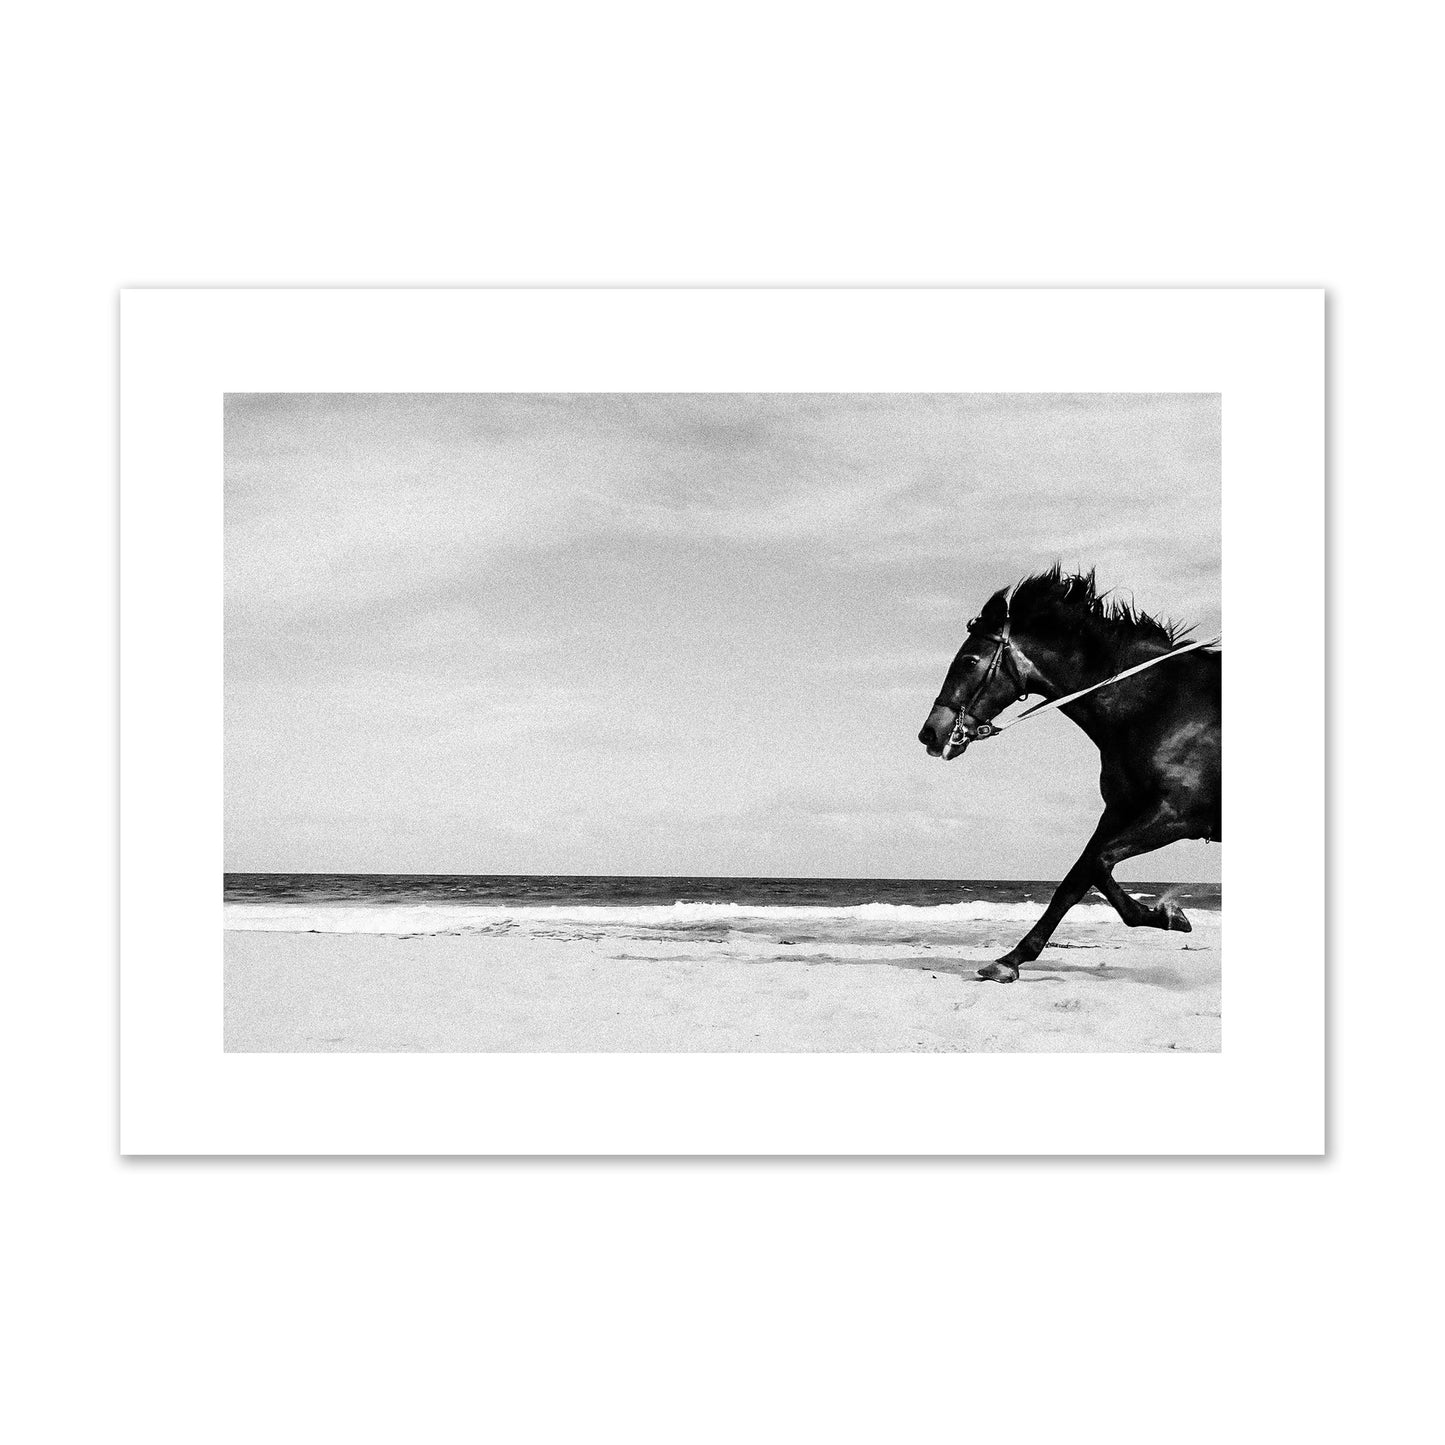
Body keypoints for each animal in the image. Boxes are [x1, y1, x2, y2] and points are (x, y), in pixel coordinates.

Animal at [917, 567, 1221, 983]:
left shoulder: (1177, 815)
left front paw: (1168, 914)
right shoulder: (1120, 811)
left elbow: (1097, 864)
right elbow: (1077, 879)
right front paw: (1010, 959)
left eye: (969, 659)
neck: (1160, 705)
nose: (931, 733)